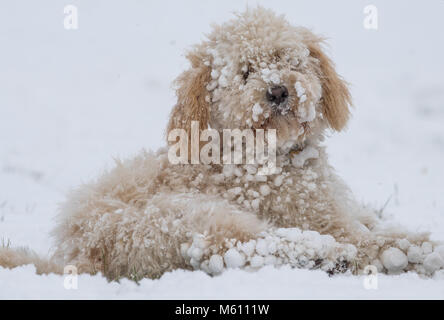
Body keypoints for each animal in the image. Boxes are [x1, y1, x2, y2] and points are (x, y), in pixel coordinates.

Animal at [0, 7, 444, 280]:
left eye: (287, 59)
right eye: (245, 72)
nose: (278, 91)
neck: (267, 155)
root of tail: (76, 253)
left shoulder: (343, 210)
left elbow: (375, 222)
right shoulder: (319, 219)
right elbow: (375, 239)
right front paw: (416, 251)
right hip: (186, 217)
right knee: (241, 248)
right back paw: (326, 255)